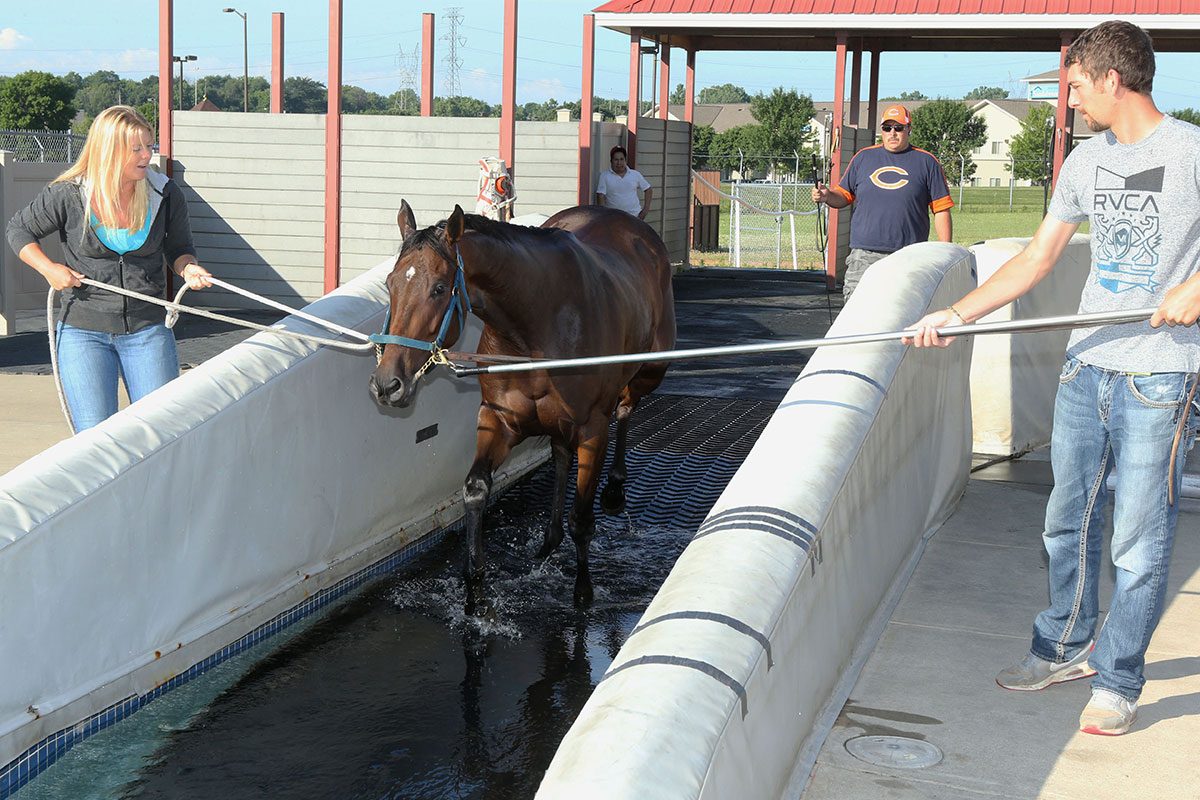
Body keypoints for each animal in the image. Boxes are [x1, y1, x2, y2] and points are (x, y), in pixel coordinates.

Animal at [369, 201, 676, 614]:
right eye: (390, 284)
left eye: (438, 288)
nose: (388, 383)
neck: (538, 323)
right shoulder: (498, 418)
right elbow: (476, 489)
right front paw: (475, 589)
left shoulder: (592, 428)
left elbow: (583, 518)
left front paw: (583, 592)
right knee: (561, 453)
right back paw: (549, 539)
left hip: (652, 369)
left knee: (627, 406)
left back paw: (614, 487)